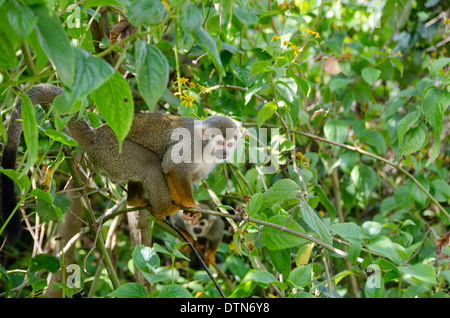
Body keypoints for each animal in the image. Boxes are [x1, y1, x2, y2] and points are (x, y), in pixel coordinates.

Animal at [0, 84, 239, 243]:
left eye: (230, 143)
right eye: (220, 141)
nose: (225, 151)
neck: (206, 149)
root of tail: (96, 136)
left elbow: (185, 176)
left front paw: (190, 212)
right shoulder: (190, 145)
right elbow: (170, 167)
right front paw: (187, 204)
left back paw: (135, 200)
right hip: (114, 152)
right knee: (151, 165)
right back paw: (163, 209)